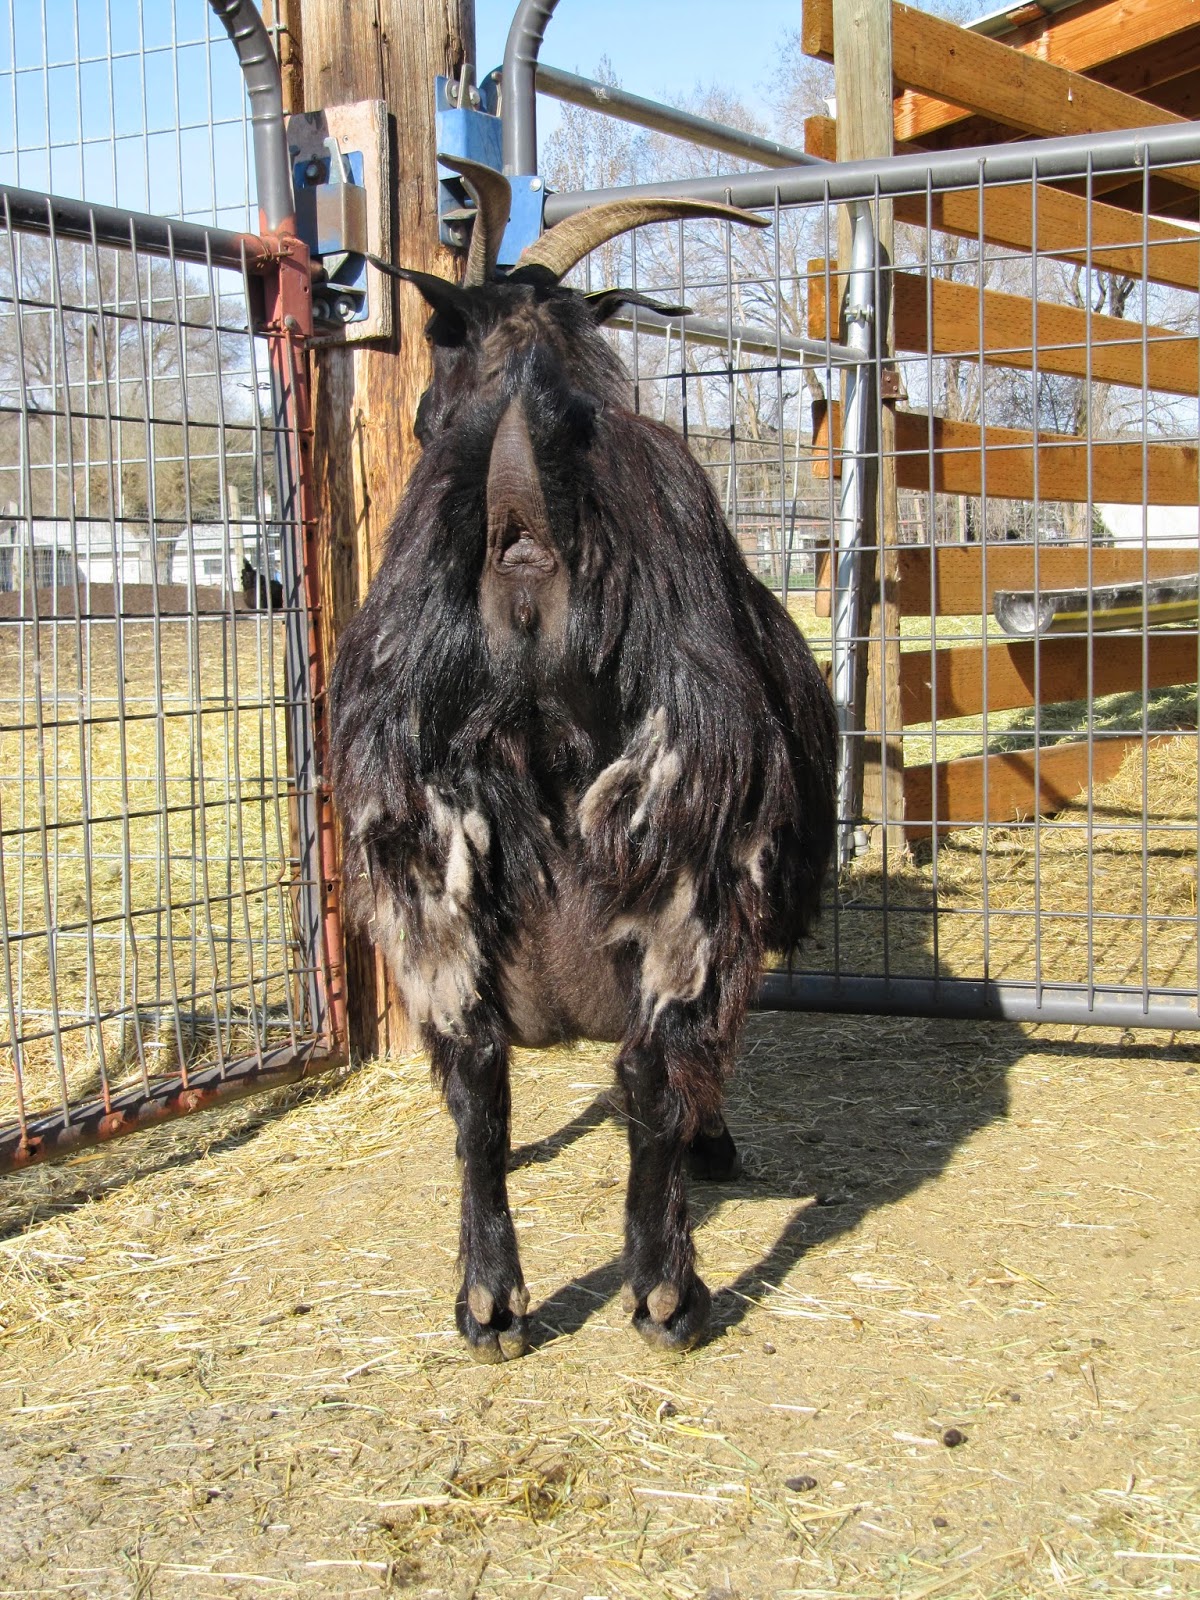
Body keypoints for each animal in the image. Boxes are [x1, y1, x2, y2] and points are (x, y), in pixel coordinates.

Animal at [329, 158, 837, 1361]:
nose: (425, 414)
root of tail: (524, 530)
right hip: (688, 852)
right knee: (656, 1071)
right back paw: (667, 1293)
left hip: (425, 855)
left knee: (478, 1086)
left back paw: (490, 1305)